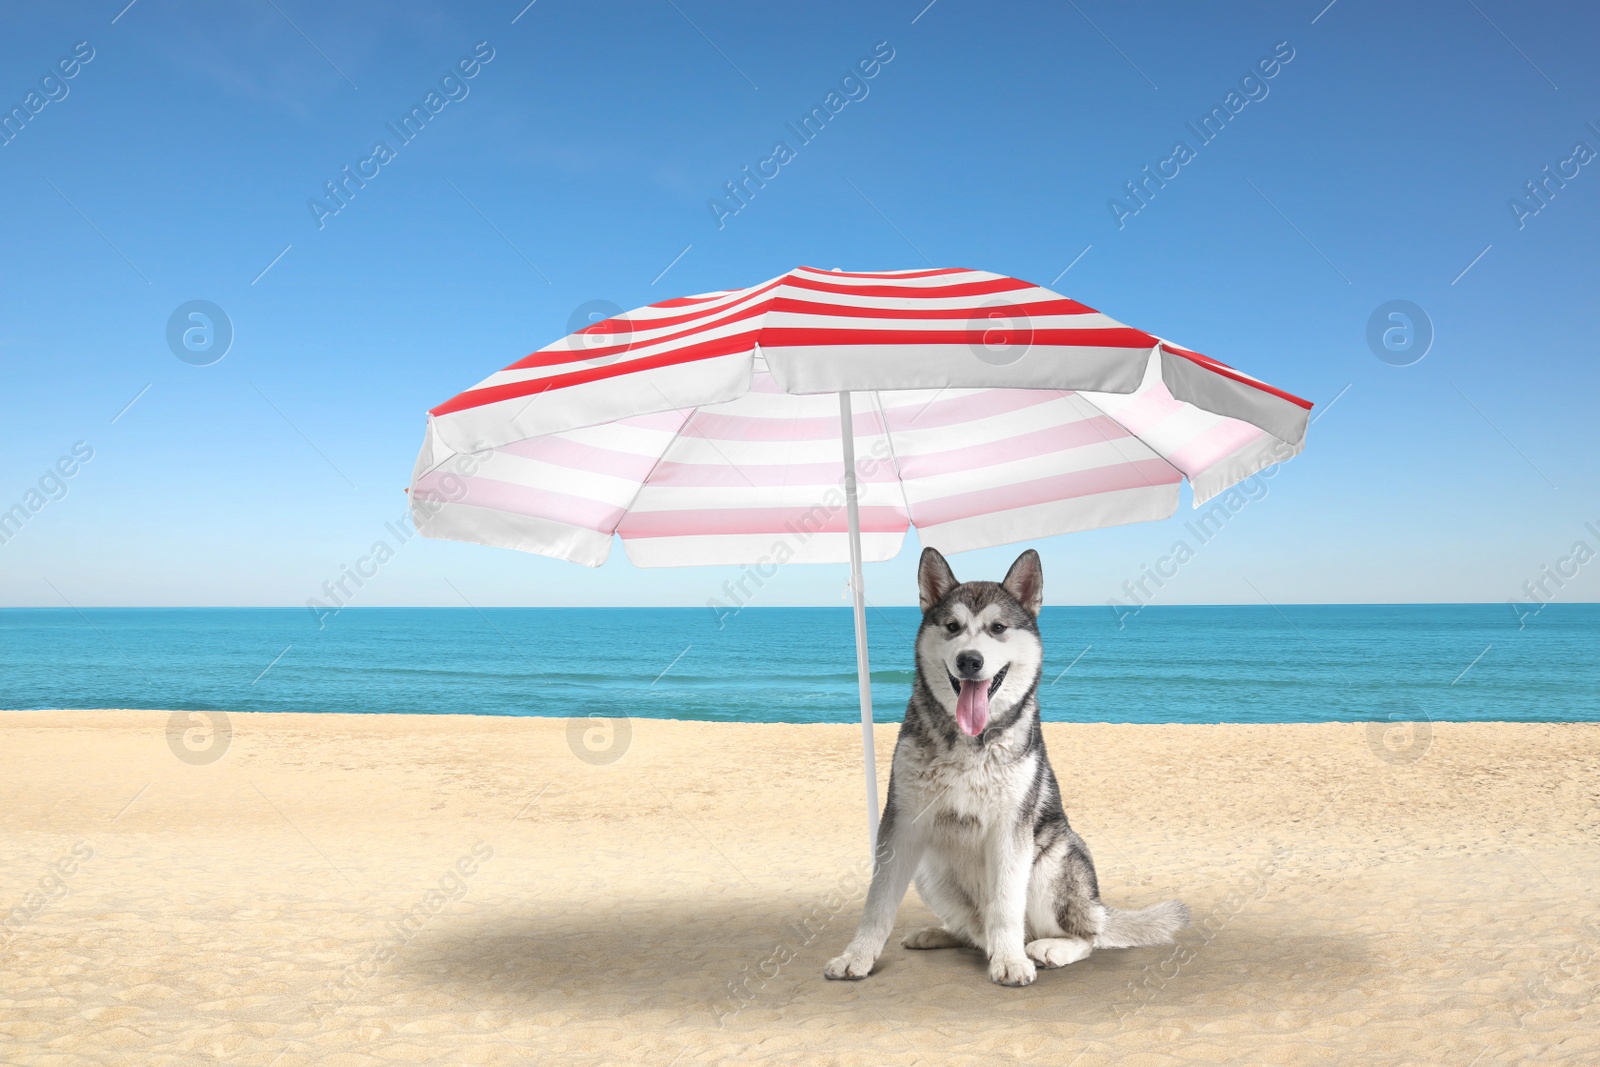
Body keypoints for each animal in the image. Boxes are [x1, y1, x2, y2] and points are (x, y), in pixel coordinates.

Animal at [825, 547, 1190, 991]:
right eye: (952, 627)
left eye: (998, 628)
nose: (969, 660)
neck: (970, 742)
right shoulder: (903, 823)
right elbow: (878, 903)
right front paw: (857, 956)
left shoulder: (1010, 830)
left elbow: (1005, 906)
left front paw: (1012, 962)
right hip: (930, 871)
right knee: (974, 928)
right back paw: (945, 935)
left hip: (1051, 866)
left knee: (1087, 936)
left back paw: (1048, 948)